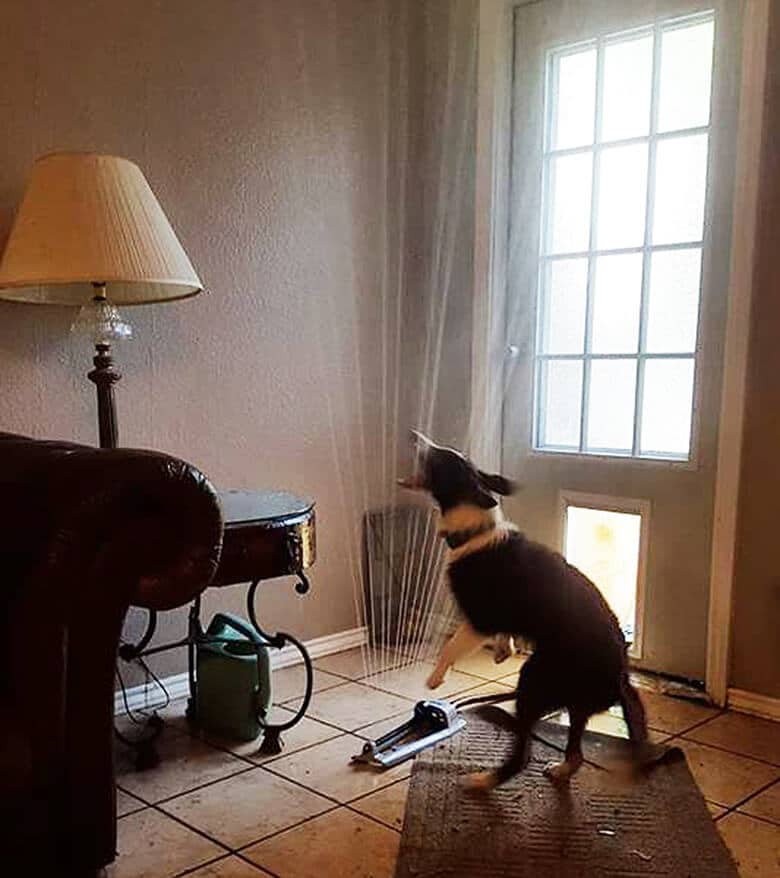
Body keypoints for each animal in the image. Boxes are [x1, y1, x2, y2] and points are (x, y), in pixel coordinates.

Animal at [400, 430, 648, 796]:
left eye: (440, 457)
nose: (413, 435)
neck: (473, 530)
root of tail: (619, 681)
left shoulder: (479, 618)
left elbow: (451, 645)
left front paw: (435, 678)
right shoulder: (502, 618)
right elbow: (504, 632)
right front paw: (504, 650)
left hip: (533, 681)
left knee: (522, 755)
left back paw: (482, 781)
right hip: (574, 703)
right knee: (575, 753)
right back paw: (559, 770)